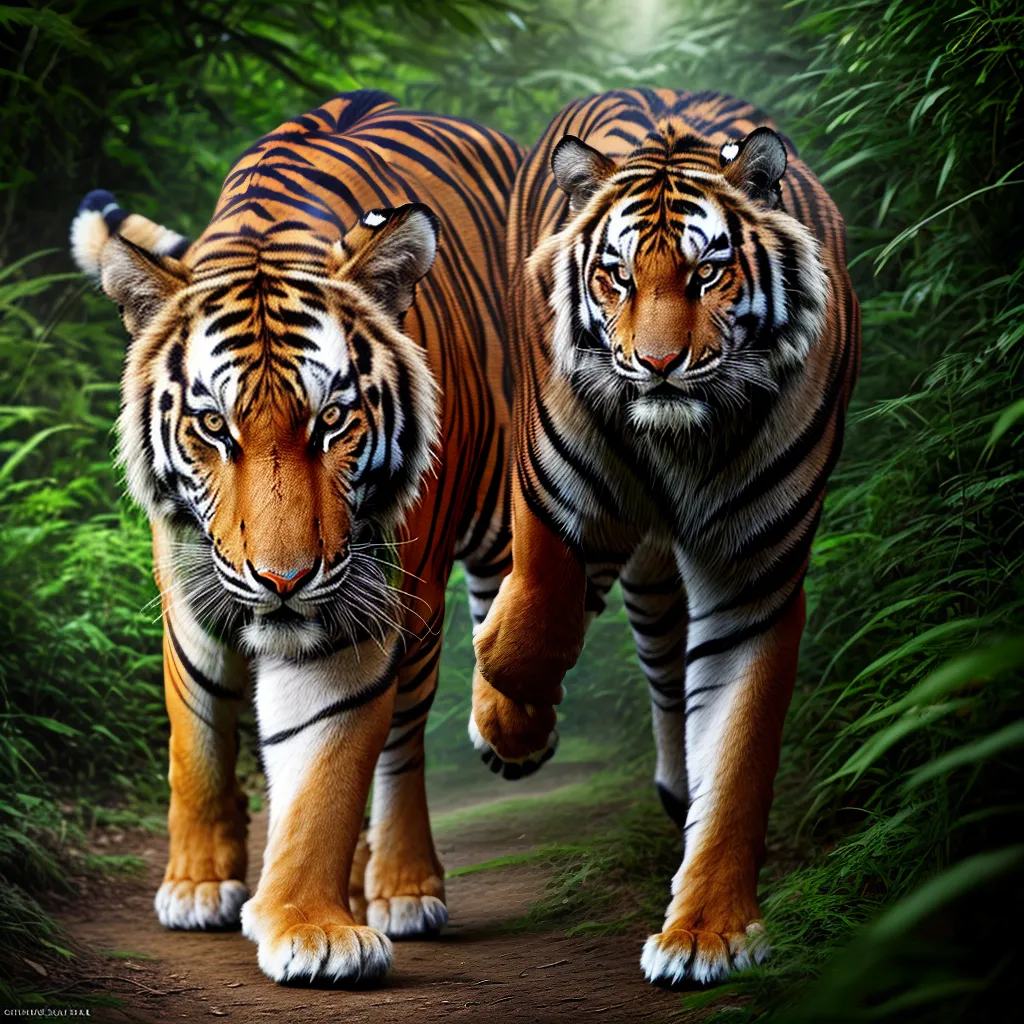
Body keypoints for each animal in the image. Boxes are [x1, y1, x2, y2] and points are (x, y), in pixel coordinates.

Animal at [70, 89, 522, 985]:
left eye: (334, 421)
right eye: (213, 426)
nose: (283, 580)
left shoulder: (360, 608)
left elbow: (328, 768)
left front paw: (313, 927)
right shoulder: (187, 586)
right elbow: (197, 738)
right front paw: (198, 884)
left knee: (407, 737)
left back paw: (400, 885)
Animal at [470, 89, 860, 985]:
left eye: (706, 272)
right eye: (616, 276)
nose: (656, 365)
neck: (683, 441)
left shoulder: (755, 575)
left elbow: (739, 751)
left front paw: (709, 934)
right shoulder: (554, 493)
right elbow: (530, 628)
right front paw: (508, 721)